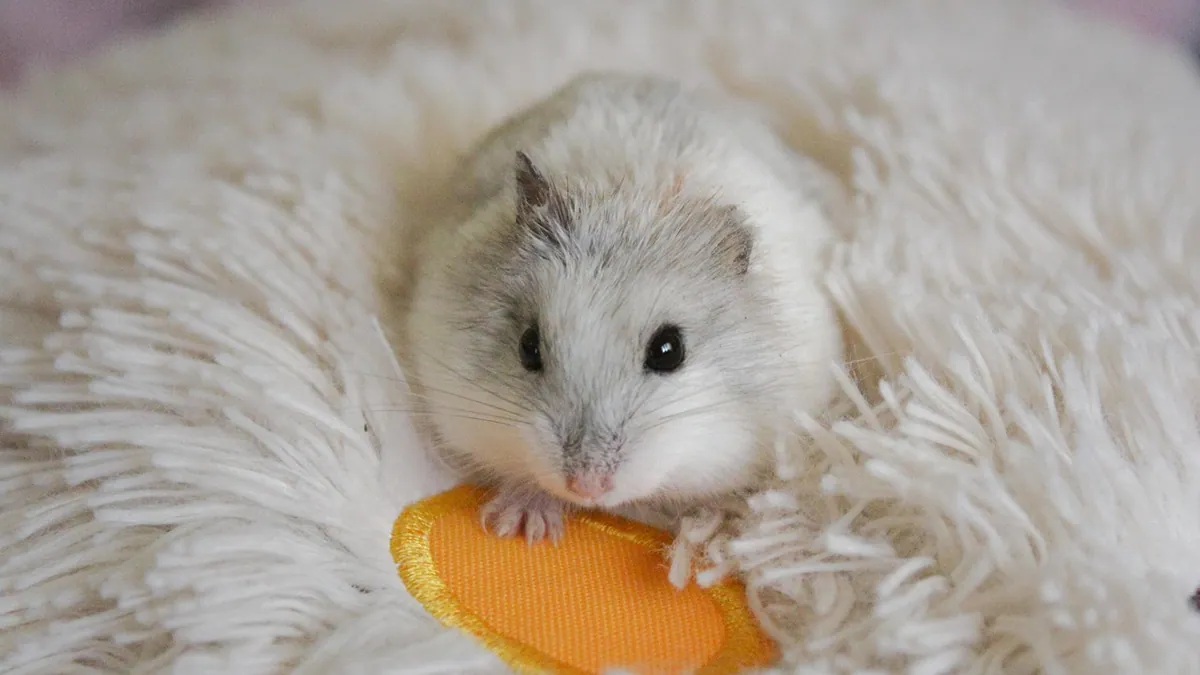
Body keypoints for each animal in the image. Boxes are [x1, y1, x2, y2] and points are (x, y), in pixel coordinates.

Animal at [404, 72, 844, 543]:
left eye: (669, 351)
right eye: (527, 347)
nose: (586, 487)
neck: (632, 196)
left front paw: (710, 528)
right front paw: (520, 525)